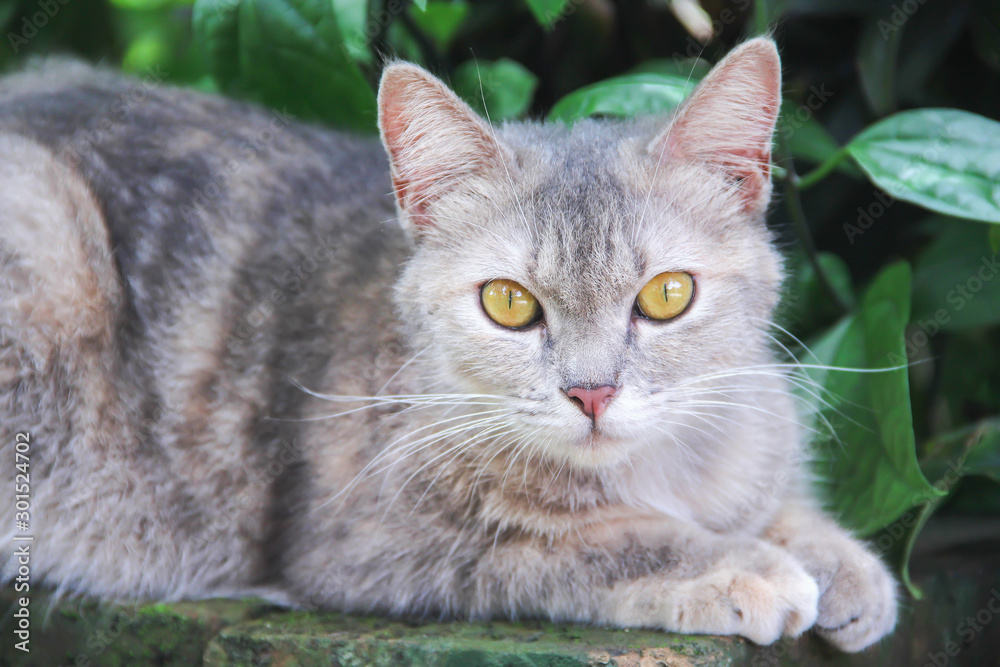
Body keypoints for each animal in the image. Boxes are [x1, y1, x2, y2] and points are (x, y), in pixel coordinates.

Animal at [0, 36, 900, 652]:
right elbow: (599, 539)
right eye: (509, 303)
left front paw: (836, 557)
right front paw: (735, 563)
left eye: (667, 295)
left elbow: (778, 502)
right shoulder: (377, 544)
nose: (593, 391)